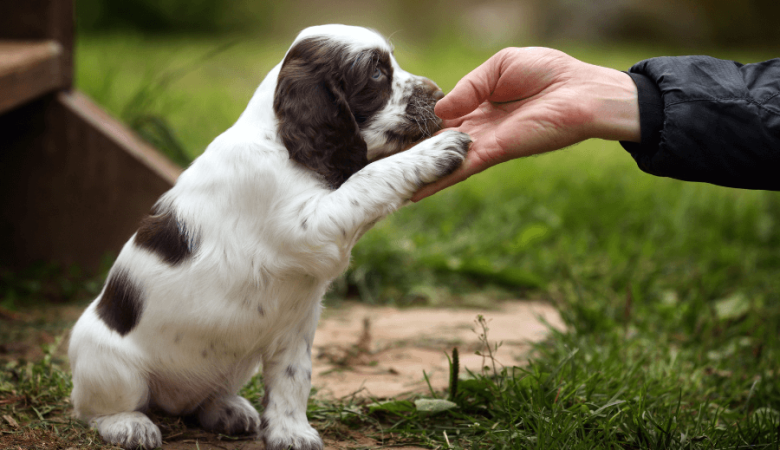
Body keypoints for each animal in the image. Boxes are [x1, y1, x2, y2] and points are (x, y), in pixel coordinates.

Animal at [68, 25, 470, 450]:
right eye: (376, 73)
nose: (440, 94)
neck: (280, 141)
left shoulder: (296, 327)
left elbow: (292, 380)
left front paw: (291, 432)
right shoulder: (311, 227)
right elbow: (369, 178)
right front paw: (435, 151)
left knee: (201, 400)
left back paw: (227, 410)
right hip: (110, 365)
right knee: (96, 408)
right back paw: (129, 424)